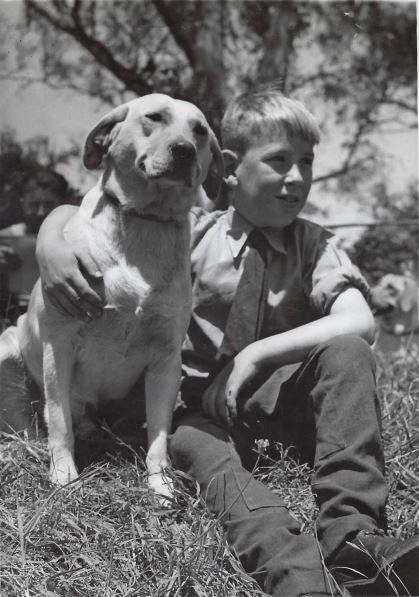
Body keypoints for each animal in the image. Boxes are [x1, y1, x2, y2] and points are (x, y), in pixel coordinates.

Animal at [0, 92, 223, 494]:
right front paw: (64, 476)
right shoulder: (60, 345)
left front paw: (161, 485)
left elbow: (159, 436)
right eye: (154, 117)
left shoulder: (167, 360)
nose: (184, 150)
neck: (145, 222)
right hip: (7, 352)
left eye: (199, 130)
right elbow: (59, 423)